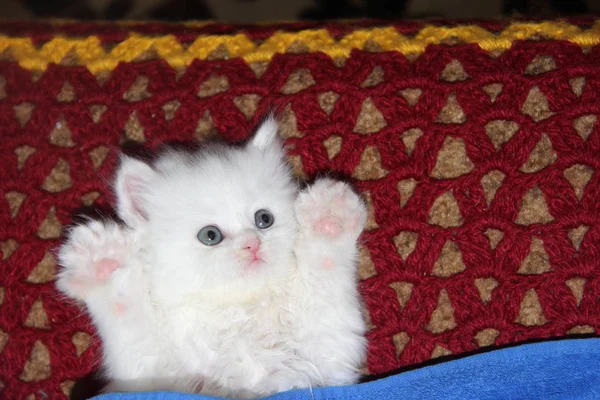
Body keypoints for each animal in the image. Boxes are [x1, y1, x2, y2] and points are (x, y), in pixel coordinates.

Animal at [56, 117, 366, 398]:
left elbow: (326, 276)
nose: (252, 244)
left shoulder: (330, 354)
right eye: (210, 235)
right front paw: (102, 262)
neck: (239, 310)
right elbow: (128, 316)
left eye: (264, 219)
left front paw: (329, 213)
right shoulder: (144, 372)